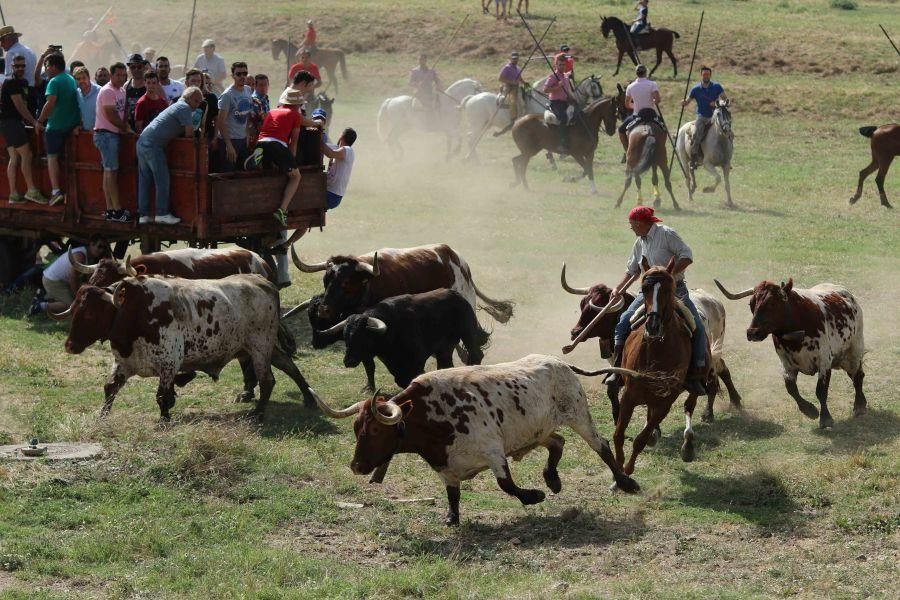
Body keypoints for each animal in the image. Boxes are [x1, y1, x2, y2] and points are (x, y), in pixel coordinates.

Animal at [312, 356, 644, 524]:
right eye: (356, 428)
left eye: (376, 431)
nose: (356, 466)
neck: (433, 414)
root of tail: (559, 363)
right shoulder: (446, 467)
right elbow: (453, 495)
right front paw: (452, 518)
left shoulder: (493, 450)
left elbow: (506, 484)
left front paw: (533, 496)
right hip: (538, 431)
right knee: (558, 442)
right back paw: (553, 479)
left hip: (578, 415)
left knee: (601, 446)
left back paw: (625, 482)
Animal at [464, 75, 604, 162]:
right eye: (594, 86)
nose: (599, 99)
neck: (544, 100)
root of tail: (471, 98)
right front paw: (555, 156)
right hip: (478, 125)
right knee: (471, 139)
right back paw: (474, 160)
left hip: (484, 125)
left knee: (472, 138)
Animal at [564, 264, 744, 424]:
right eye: (582, 305)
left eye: (597, 310)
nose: (574, 332)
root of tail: (715, 301)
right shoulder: (617, 368)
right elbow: (612, 388)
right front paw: (616, 416)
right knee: (723, 369)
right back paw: (736, 401)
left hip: (712, 351)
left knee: (712, 380)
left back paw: (708, 413)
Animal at [612, 258, 712, 478]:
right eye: (644, 288)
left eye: (667, 289)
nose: (653, 325)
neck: (655, 348)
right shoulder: (629, 395)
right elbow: (618, 434)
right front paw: (618, 470)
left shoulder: (666, 401)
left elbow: (640, 439)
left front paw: (627, 470)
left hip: (693, 386)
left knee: (689, 405)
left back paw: (687, 445)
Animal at [716, 276, 864, 426]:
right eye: (751, 303)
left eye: (772, 304)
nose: (752, 333)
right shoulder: (786, 363)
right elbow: (791, 388)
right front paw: (809, 410)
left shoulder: (824, 361)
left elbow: (821, 390)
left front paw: (825, 418)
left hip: (854, 350)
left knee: (857, 376)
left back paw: (859, 406)